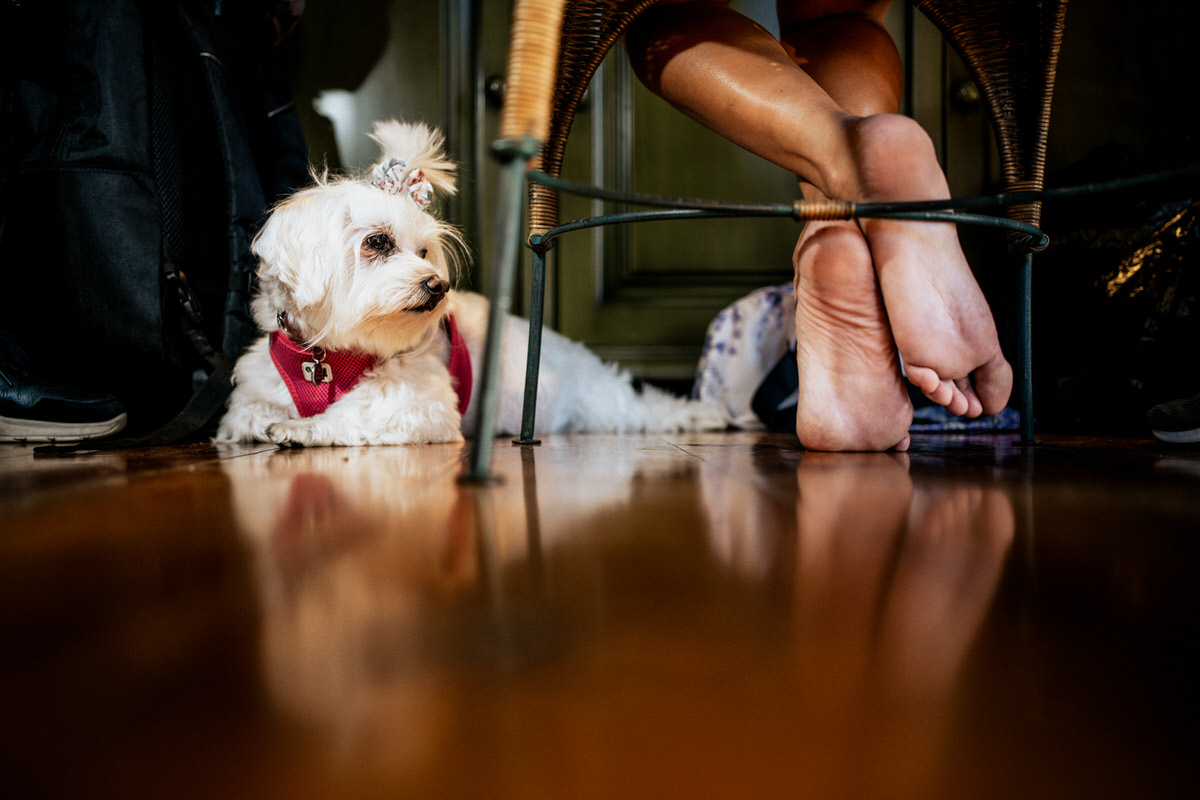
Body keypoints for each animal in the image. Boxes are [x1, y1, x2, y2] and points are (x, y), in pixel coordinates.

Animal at [214, 119, 720, 448]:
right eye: (377, 242)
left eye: (424, 253)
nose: (437, 286)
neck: (334, 355)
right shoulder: (256, 389)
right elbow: (247, 415)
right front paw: (273, 425)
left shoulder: (420, 398)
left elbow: (354, 412)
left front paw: (302, 429)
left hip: (606, 404)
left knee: (647, 407)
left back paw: (702, 414)